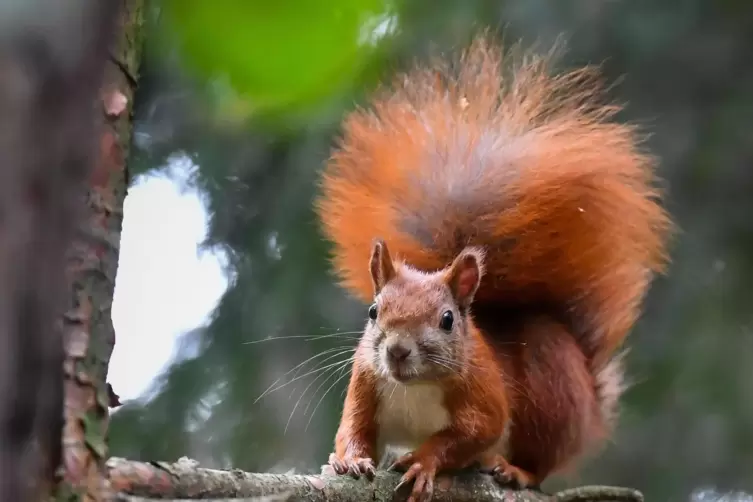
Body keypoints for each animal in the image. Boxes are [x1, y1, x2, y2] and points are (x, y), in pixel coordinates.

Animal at [312, 35, 668, 502]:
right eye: (374, 312)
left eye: (447, 320)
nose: (397, 351)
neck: (415, 386)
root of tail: (591, 403)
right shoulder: (365, 383)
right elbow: (353, 428)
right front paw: (349, 460)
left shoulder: (485, 395)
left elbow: (470, 434)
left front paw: (426, 461)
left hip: (552, 394)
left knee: (540, 459)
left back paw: (515, 471)